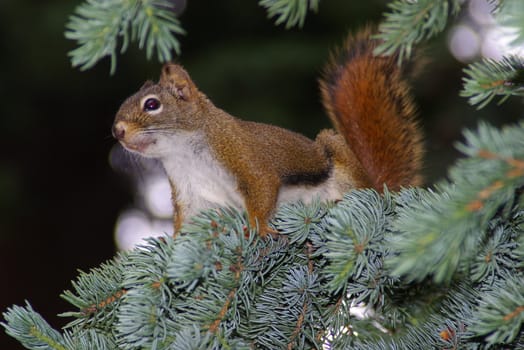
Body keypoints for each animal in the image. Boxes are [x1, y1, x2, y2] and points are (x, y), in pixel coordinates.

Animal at [112, 28, 424, 237]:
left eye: (152, 104)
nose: (117, 131)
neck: (184, 152)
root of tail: (380, 187)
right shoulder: (189, 192)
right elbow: (187, 223)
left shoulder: (240, 153)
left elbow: (262, 186)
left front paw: (259, 229)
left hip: (339, 158)